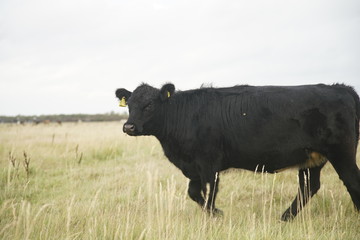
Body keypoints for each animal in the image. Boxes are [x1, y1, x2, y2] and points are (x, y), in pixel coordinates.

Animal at [116, 83, 360, 221]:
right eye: (129, 105)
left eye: (149, 105)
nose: (128, 127)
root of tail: (341, 87)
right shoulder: (194, 167)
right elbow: (194, 193)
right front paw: (216, 214)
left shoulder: (208, 163)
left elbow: (209, 192)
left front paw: (215, 215)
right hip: (311, 158)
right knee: (309, 187)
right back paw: (285, 218)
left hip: (342, 153)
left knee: (352, 181)